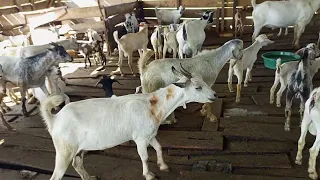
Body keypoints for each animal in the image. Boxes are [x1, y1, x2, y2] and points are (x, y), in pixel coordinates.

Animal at [38, 65, 216, 180]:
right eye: (198, 87)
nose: (214, 95)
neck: (154, 104)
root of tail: (54, 119)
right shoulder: (140, 139)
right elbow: (144, 156)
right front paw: (149, 175)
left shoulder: (150, 134)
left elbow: (159, 147)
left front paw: (163, 166)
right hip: (64, 150)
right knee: (57, 175)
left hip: (79, 149)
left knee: (77, 163)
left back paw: (89, 177)